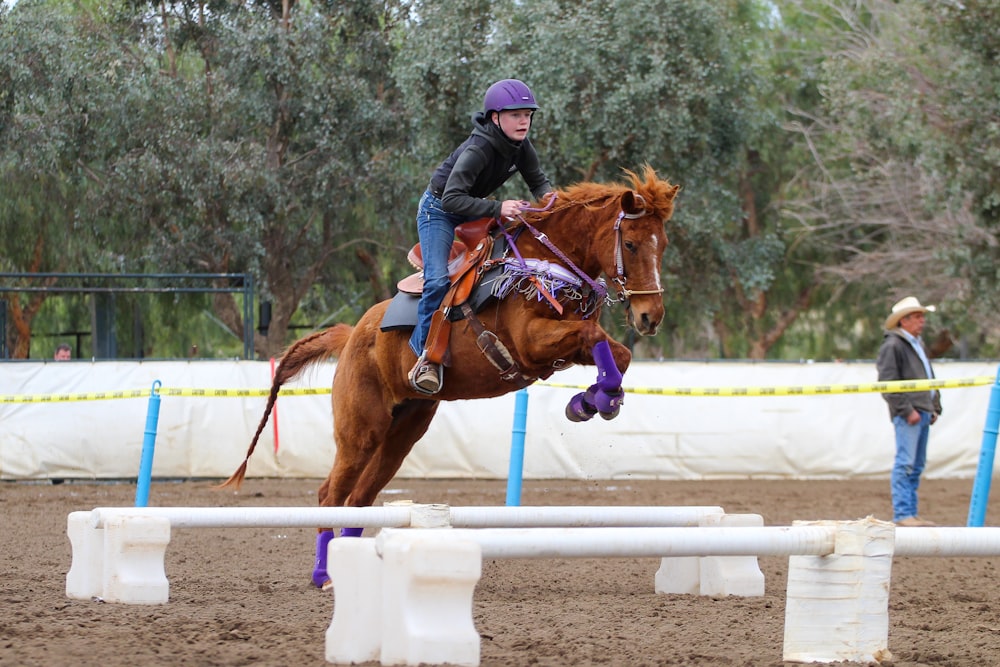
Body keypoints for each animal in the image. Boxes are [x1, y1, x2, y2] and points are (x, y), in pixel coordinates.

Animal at [221, 164, 680, 588]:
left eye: (664, 245)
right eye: (632, 244)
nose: (651, 317)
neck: (546, 260)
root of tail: (352, 335)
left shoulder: (566, 347)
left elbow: (617, 354)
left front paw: (593, 401)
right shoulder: (530, 343)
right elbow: (595, 337)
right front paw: (590, 402)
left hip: (403, 432)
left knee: (361, 496)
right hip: (361, 431)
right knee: (330, 494)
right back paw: (322, 572)